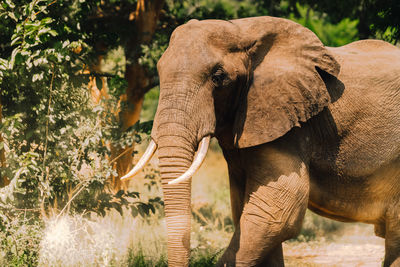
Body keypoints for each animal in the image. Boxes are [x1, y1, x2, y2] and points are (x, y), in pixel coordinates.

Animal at [121, 15, 400, 266]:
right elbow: (246, 210)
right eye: (159, 71)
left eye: (218, 77)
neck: (242, 30)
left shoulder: (289, 123)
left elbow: (277, 211)